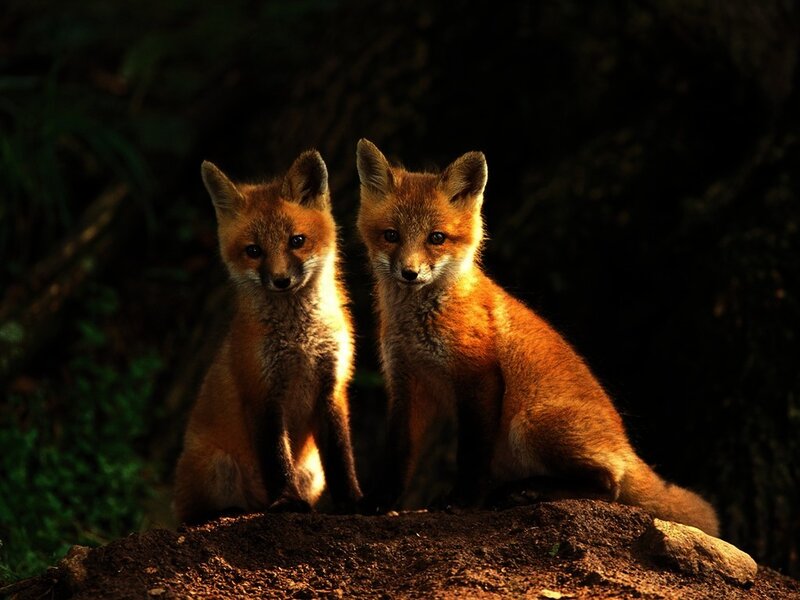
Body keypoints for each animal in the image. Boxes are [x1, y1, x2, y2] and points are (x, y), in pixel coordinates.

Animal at [173, 150, 362, 523]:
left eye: (297, 241)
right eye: (254, 251)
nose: (280, 280)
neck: (300, 340)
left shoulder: (333, 387)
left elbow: (341, 456)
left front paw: (352, 502)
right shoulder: (262, 391)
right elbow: (276, 458)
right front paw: (288, 502)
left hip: (312, 472)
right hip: (216, 466)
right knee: (191, 515)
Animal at [355, 138, 719, 536]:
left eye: (436, 238)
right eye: (391, 235)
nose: (410, 273)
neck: (419, 323)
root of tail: (626, 446)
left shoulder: (478, 375)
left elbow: (471, 453)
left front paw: (461, 501)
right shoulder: (407, 382)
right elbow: (398, 454)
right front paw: (377, 503)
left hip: (527, 423)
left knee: (610, 485)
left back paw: (527, 492)